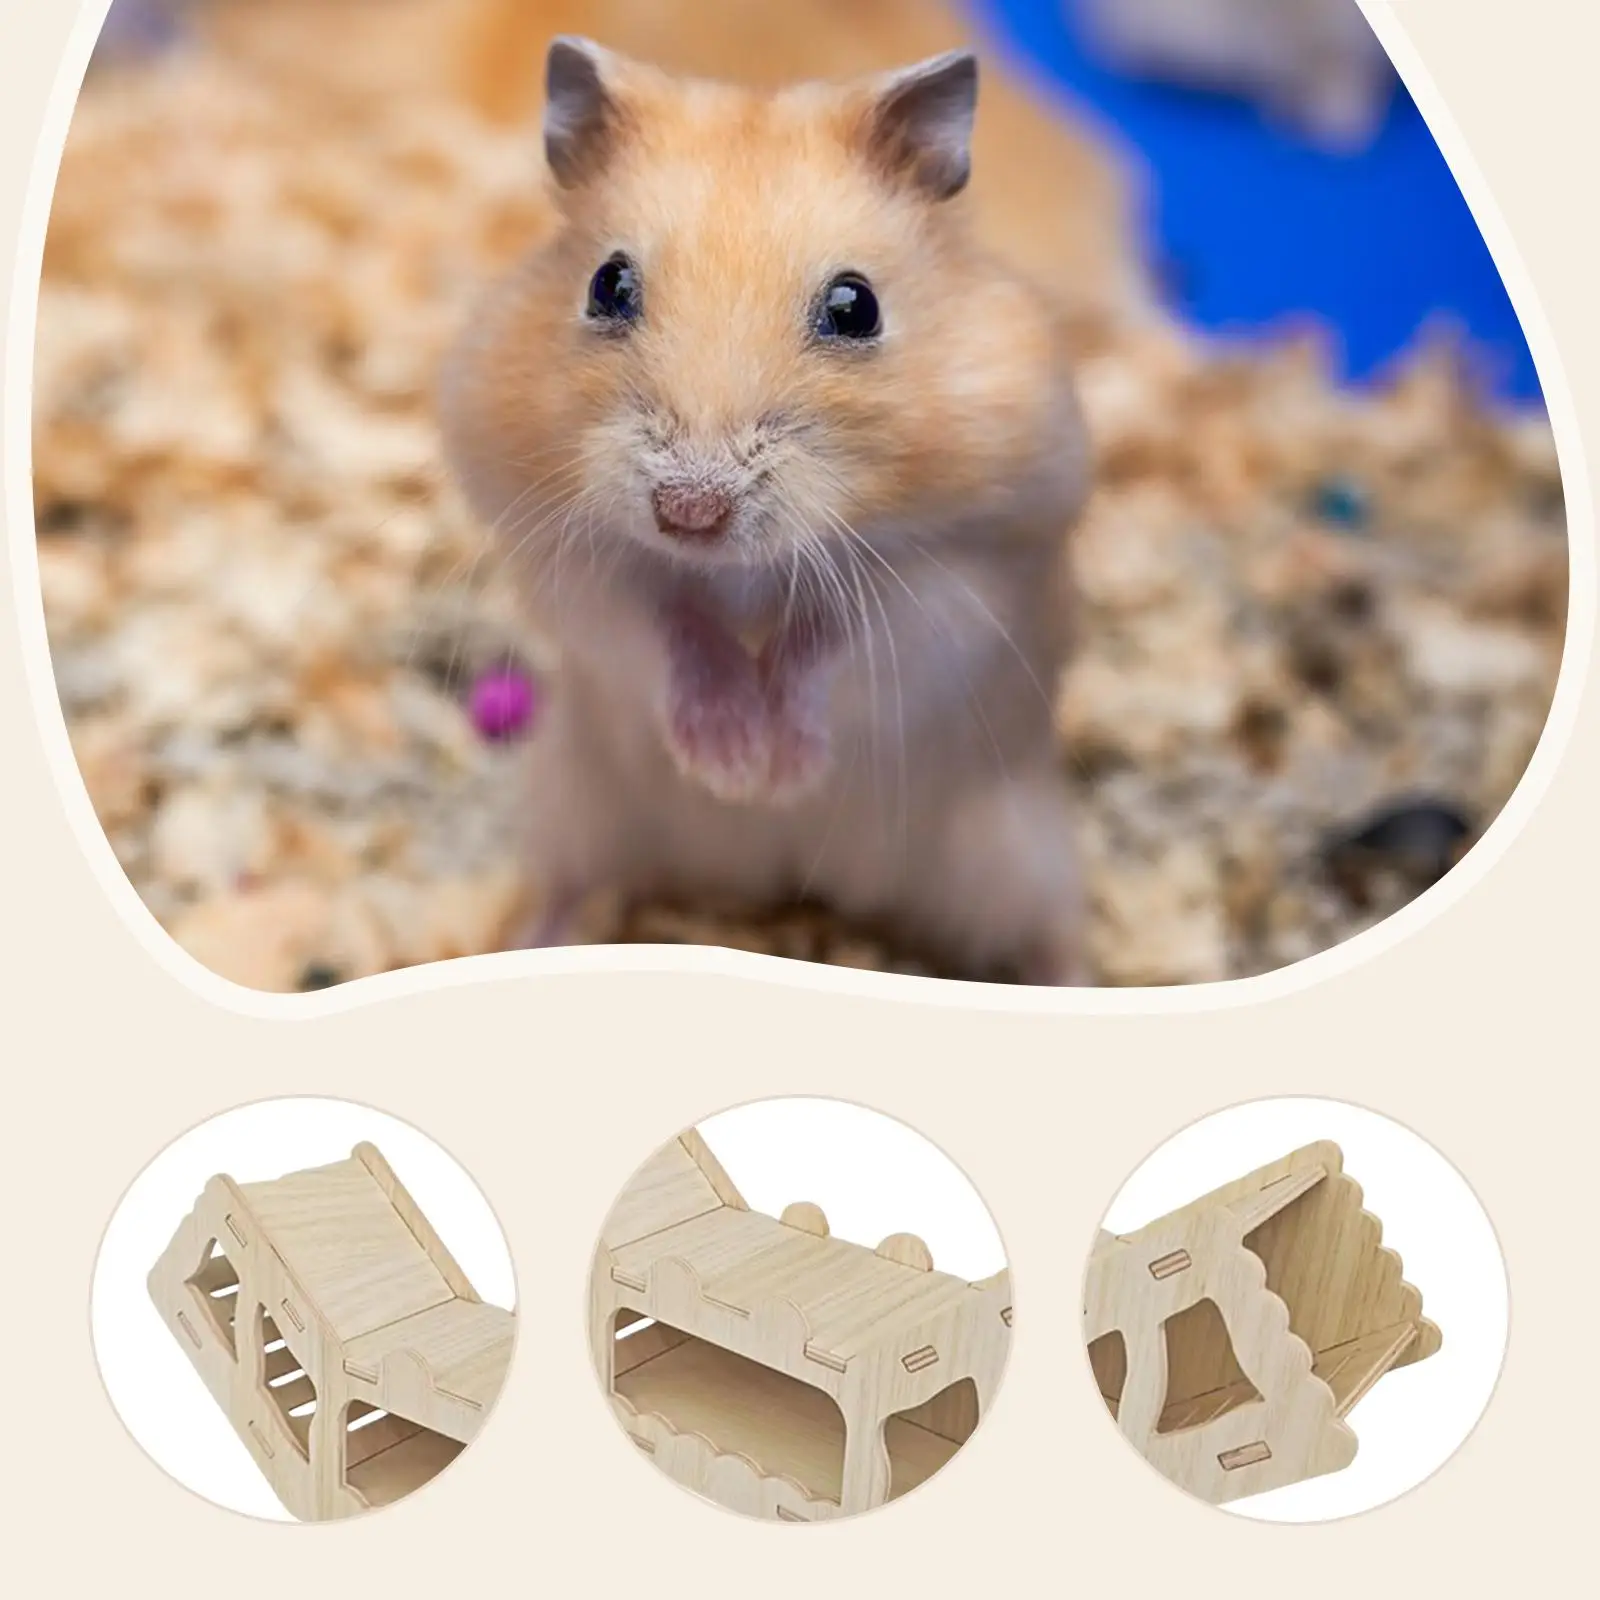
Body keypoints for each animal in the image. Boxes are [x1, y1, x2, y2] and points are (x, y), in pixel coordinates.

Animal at [441, 38, 1095, 985]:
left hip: (1019, 849)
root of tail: (774, 882)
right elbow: (665, 625)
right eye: (607, 284)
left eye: (856, 306)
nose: (688, 512)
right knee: (562, 890)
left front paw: (775, 773)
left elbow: (831, 640)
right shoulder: (575, 560)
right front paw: (732, 767)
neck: (738, 572)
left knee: (1052, 941)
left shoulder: (969, 570)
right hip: (574, 805)